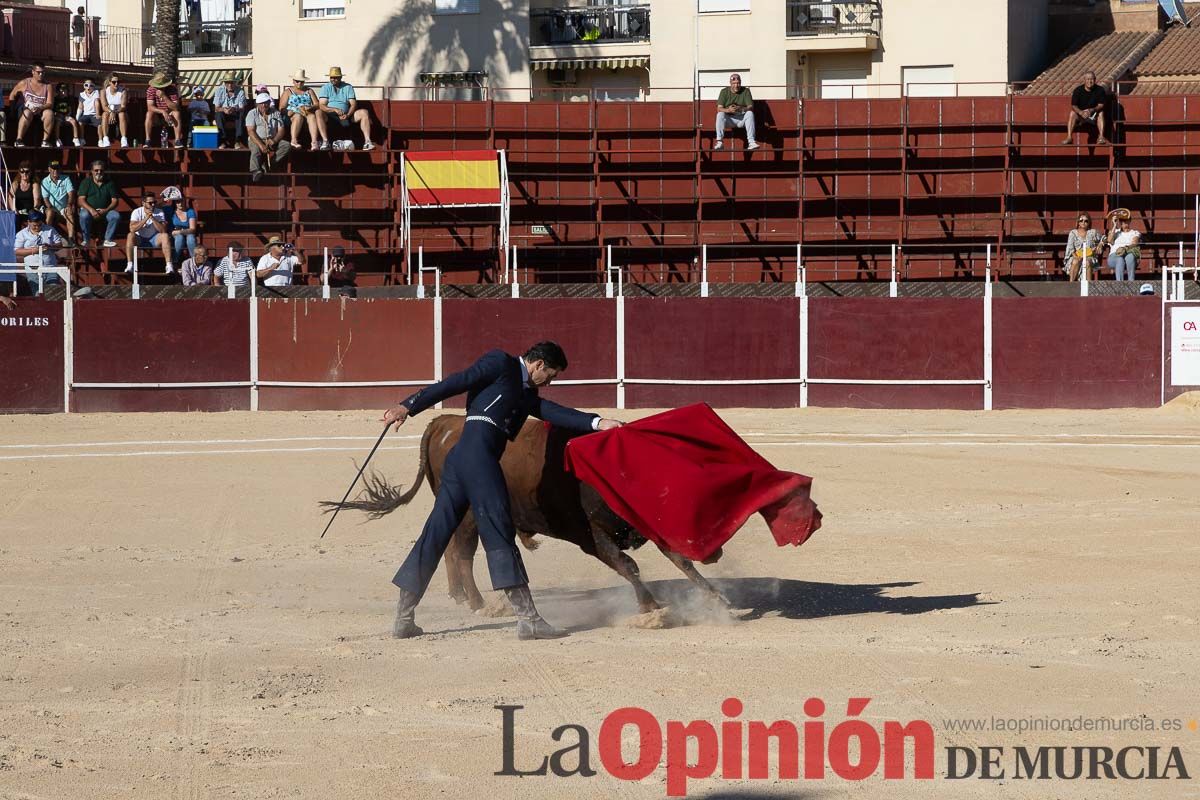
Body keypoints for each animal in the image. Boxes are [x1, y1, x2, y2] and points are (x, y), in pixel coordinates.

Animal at [331, 412, 729, 614]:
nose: (716, 553)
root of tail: (445, 423)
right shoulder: (589, 534)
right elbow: (627, 564)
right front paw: (651, 607)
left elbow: (679, 559)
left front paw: (715, 597)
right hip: (470, 515)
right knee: (461, 553)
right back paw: (481, 604)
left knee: (449, 549)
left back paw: (462, 597)